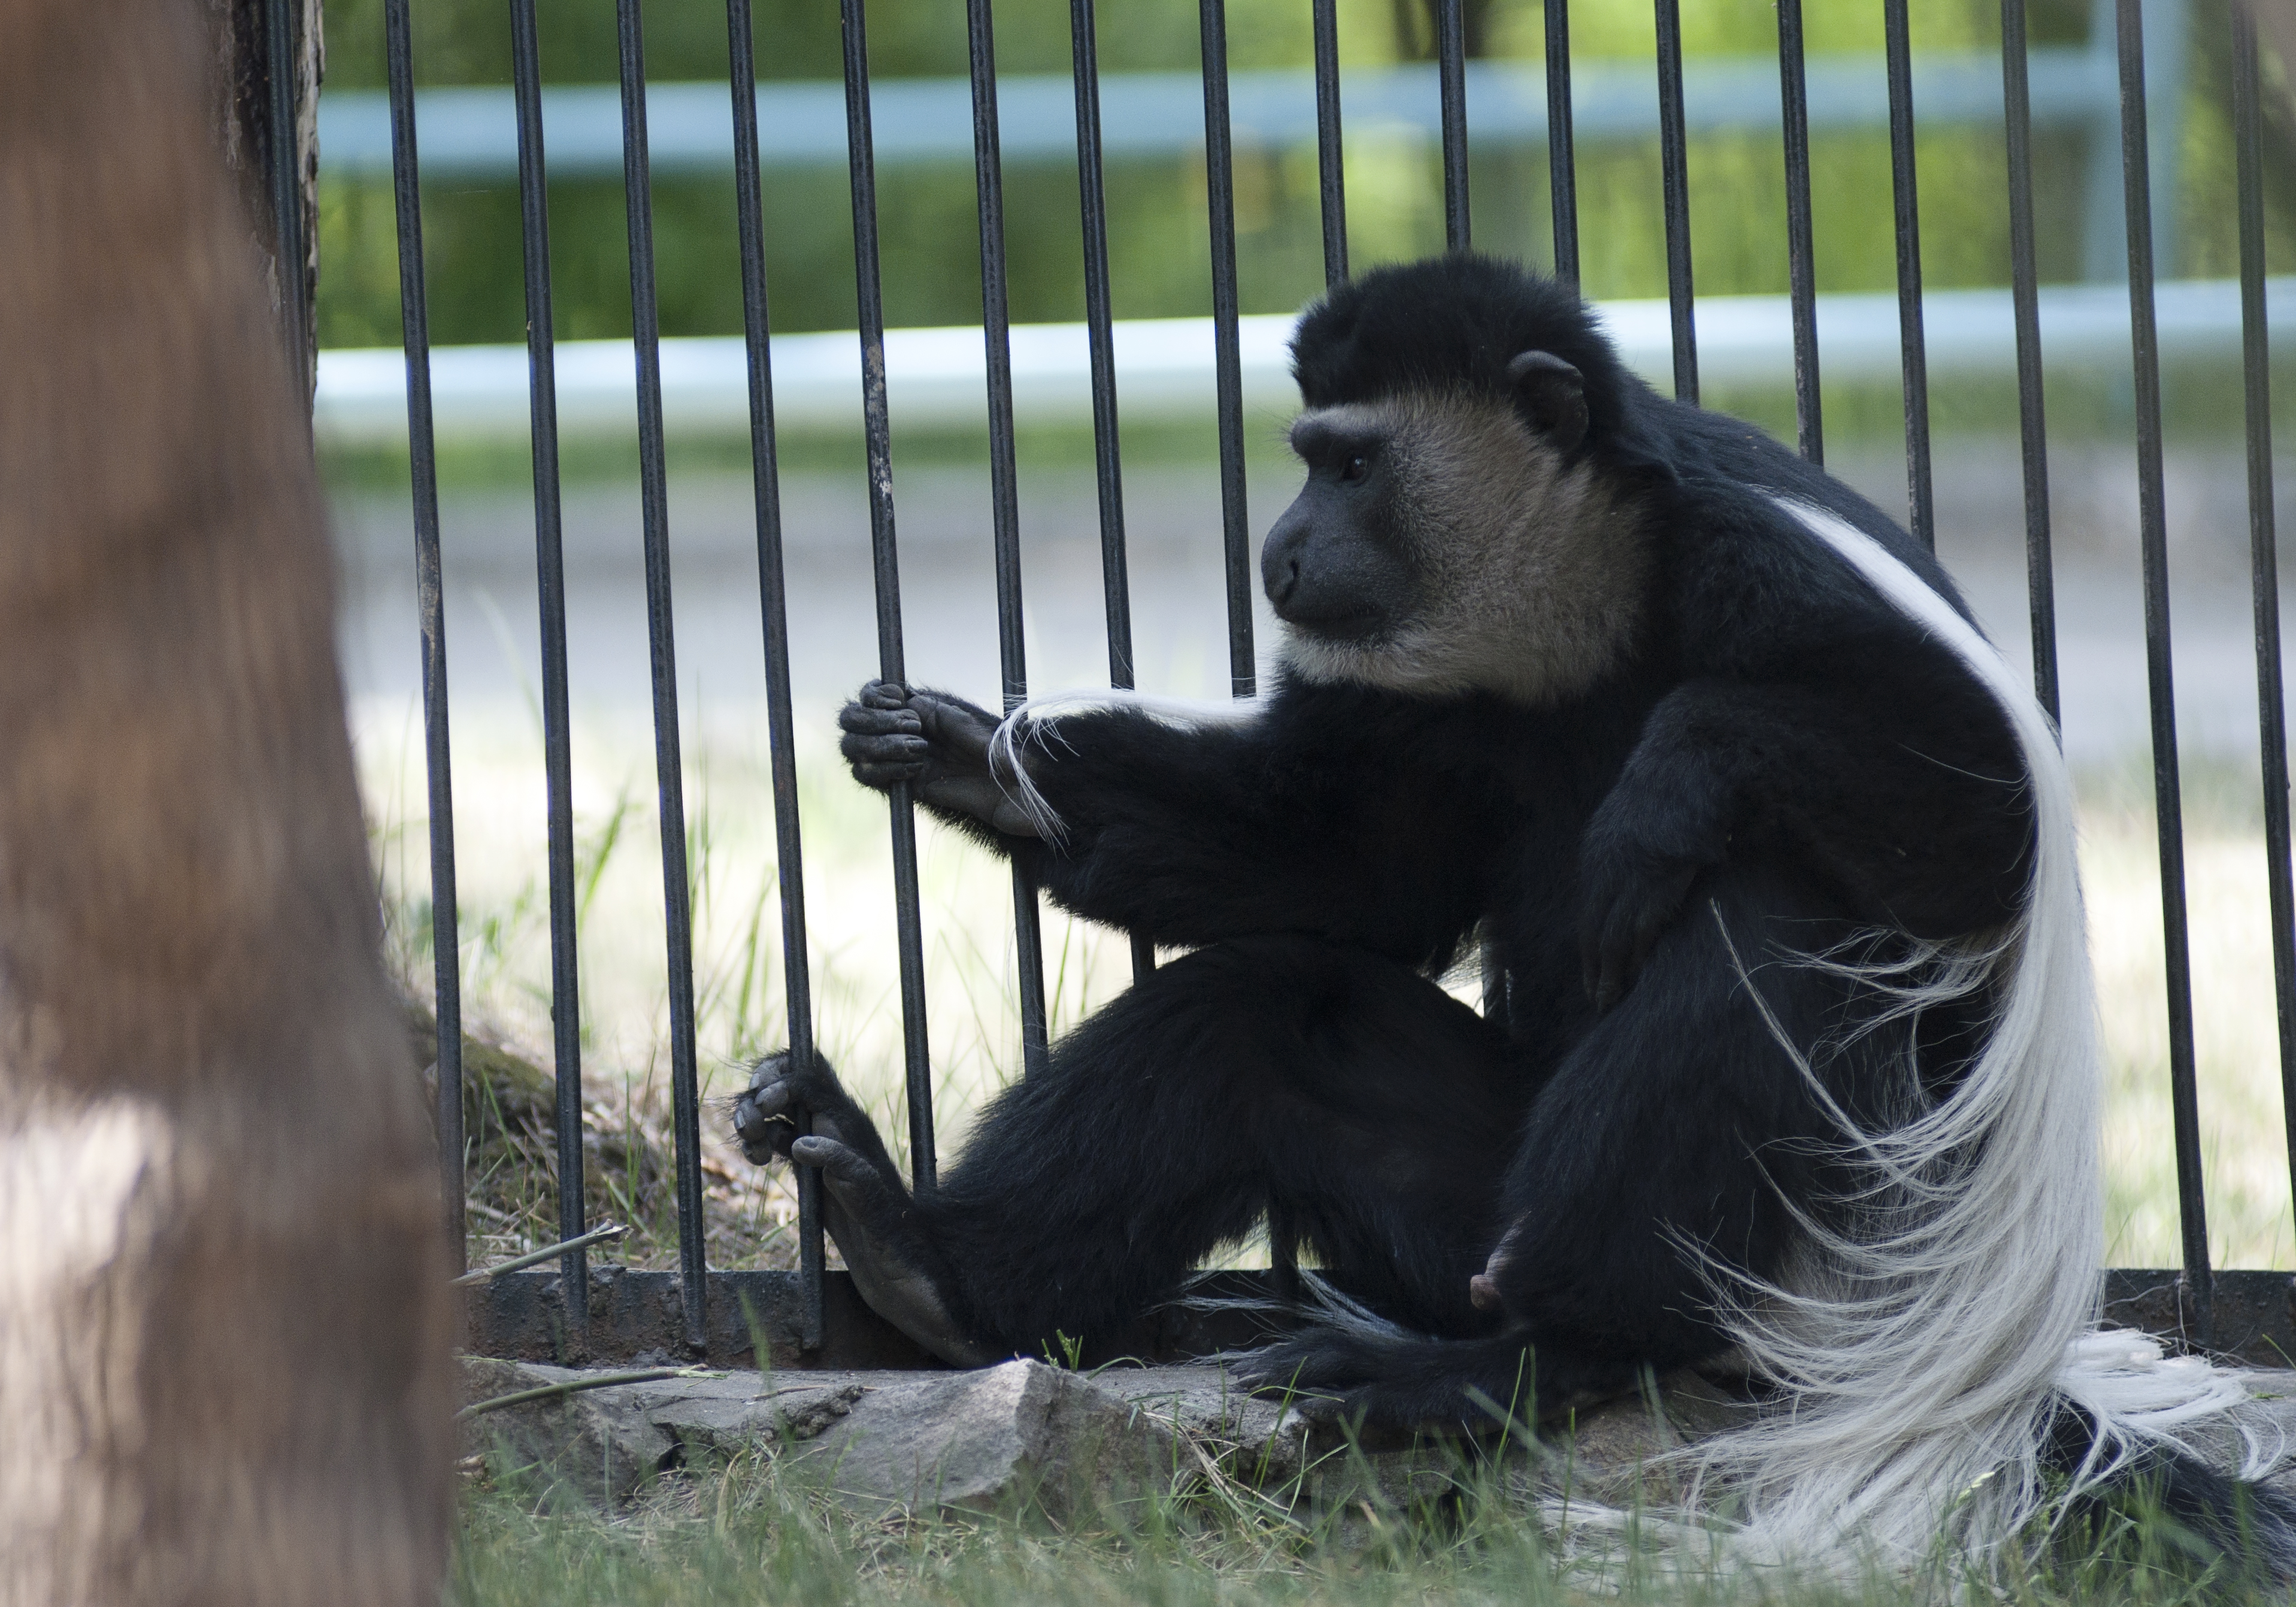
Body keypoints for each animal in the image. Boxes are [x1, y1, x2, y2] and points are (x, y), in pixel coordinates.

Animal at [744, 260, 2286, 1570]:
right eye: (1308, 456)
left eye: (1350, 463)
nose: (1280, 548)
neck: (1589, 596)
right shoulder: (1430, 706)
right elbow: (1341, 864)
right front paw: (962, 757)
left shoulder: (1778, 576)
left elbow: (1982, 829)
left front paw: (1664, 787)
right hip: (1469, 1198)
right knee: (1253, 1015)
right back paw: (919, 1264)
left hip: (1810, 1249)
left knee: (1777, 922)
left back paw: (1513, 1361)